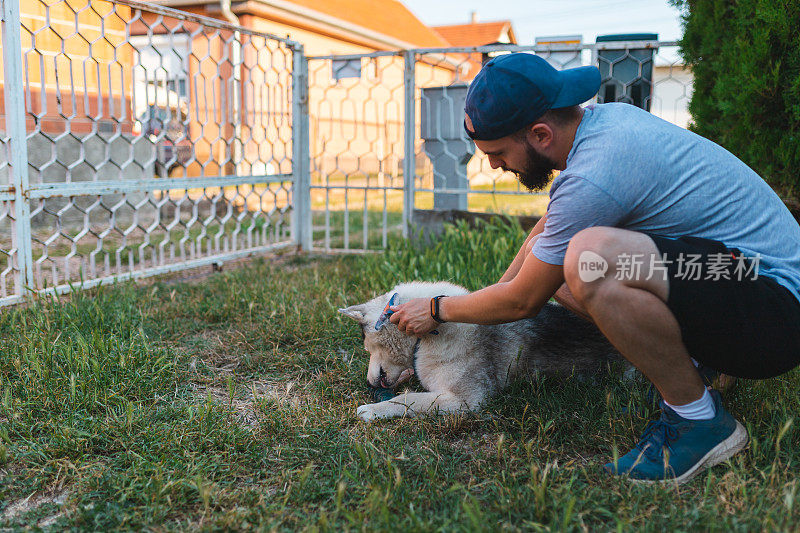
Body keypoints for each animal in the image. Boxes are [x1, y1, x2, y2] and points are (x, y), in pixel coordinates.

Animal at [338, 280, 624, 422]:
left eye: (365, 343)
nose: (368, 383)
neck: (430, 335)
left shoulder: (464, 399)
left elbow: (410, 399)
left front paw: (375, 409)